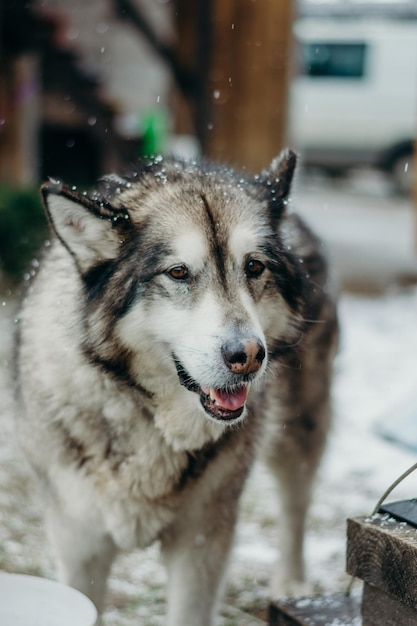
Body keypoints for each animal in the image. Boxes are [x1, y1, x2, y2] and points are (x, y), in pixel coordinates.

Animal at [14, 149, 338, 620]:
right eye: (179, 272)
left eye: (254, 266)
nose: (248, 355)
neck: (146, 416)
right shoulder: (80, 548)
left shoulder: (201, 545)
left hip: (299, 432)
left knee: (296, 504)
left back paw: (292, 584)